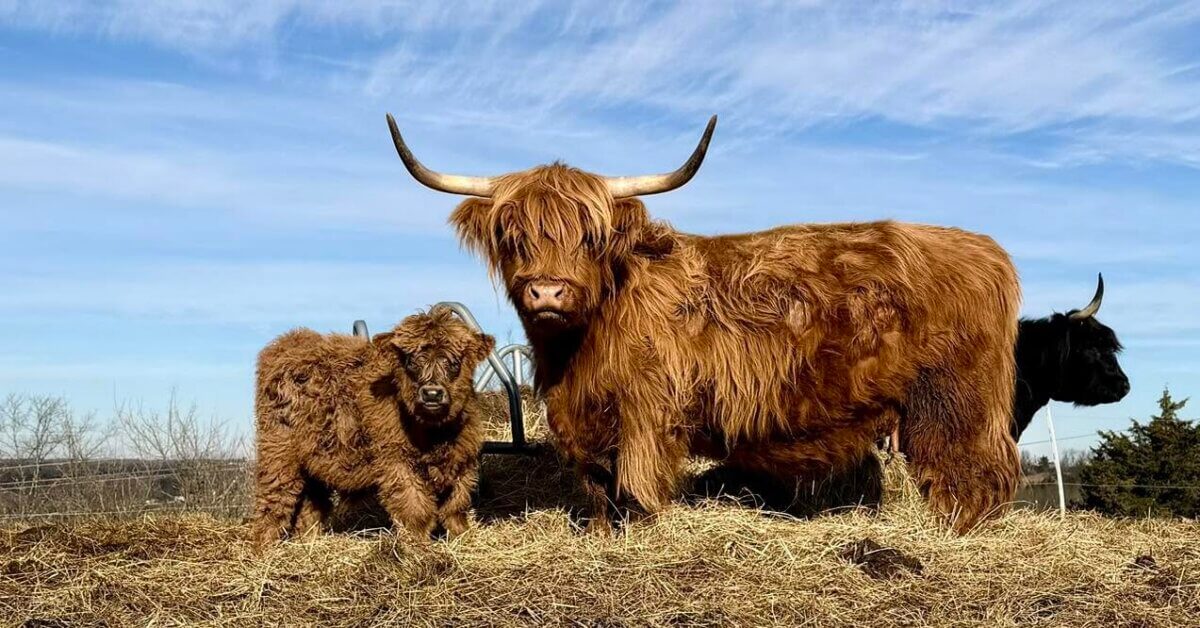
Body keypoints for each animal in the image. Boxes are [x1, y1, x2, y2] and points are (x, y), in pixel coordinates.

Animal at [251, 307, 495, 546]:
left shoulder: (462, 462)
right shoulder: (398, 463)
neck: (435, 434)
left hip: (314, 461)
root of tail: (288, 343)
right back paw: (264, 550)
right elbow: (415, 509)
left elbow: (456, 508)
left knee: (310, 508)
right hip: (278, 453)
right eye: (411, 361)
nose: (432, 394)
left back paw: (308, 543)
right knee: (273, 503)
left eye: (453, 362)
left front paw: (461, 539)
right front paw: (417, 548)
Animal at [385, 113, 1022, 533]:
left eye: (590, 237)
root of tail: (986, 250)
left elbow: (635, 488)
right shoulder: (584, 419)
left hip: (954, 402)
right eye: (513, 236)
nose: (547, 290)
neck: (576, 350)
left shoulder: (647, 411)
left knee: (975, 475)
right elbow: (596, 490)